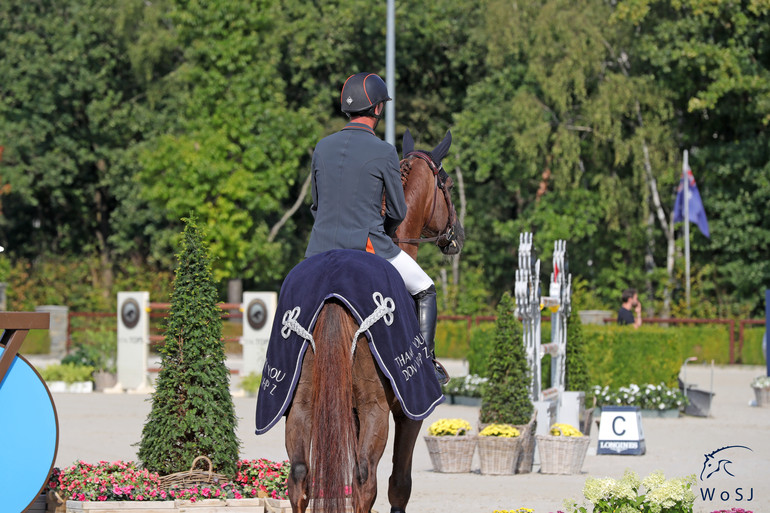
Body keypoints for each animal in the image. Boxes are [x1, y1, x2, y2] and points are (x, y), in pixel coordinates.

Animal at [282, 129, 462, 512]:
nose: (457, 237)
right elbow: (399, 484)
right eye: (449, 186)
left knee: (300, 475)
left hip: (302, 404)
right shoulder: (409, 413)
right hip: (375, 408)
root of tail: (333, 297)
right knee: (366, 479)